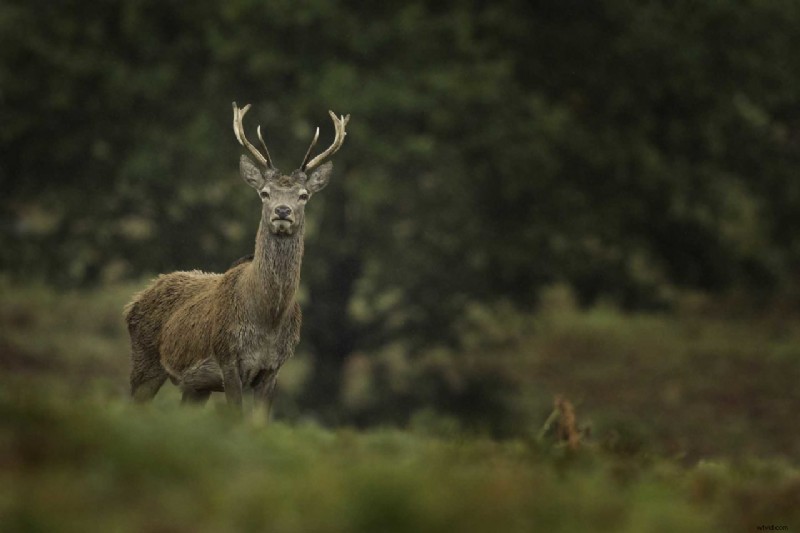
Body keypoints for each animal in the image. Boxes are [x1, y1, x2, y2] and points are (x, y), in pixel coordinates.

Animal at [123, 102, 350, 417]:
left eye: (303, 195)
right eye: (264, 193)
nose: (282, 211)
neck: (268, 319)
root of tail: (134, 301)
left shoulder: (273, 368)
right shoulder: (228, 359)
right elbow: (236, 418)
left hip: (195, 386)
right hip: (145, 361)